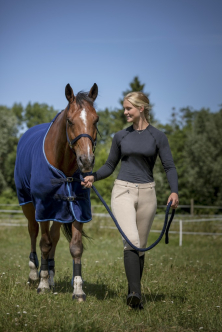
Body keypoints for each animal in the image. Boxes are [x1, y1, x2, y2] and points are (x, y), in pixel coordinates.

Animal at [14, 83, 99, 300]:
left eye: (96, 120)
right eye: (69, 121)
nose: (86, 161)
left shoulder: (77, 208)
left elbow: (74, 247)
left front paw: (78, 290)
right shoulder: (43, 208)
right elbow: (44, 243)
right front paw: (42, 284)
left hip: (60, 210)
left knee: (54, 237)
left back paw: (51, 275)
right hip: (28, 205)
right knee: (33, 232)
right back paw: (34, 273)